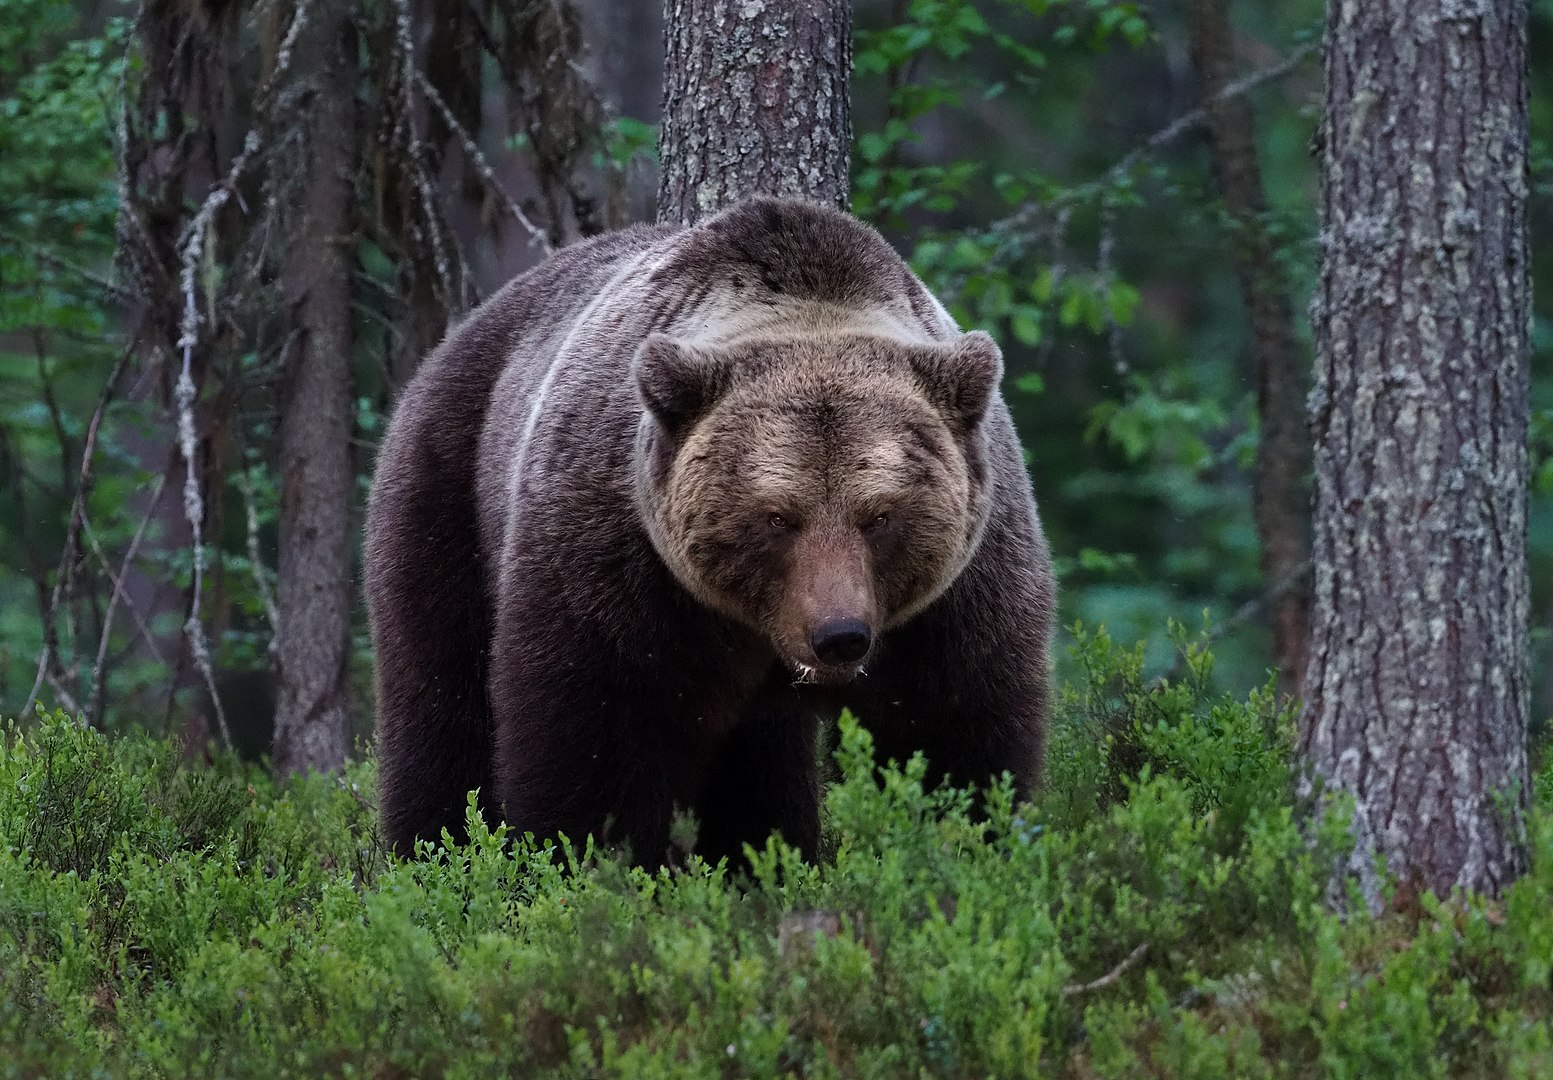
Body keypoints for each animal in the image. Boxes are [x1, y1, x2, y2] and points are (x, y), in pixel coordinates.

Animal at [364, 197, 1055, 867]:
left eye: (881, 516)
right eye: (777, 517)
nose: (840, 637)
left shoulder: (957, 588)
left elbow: (955, 728)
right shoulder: (621, 556)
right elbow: (594, 731)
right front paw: (586, 863)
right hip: (447, 483)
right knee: (440, 694)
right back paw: (430, 852)